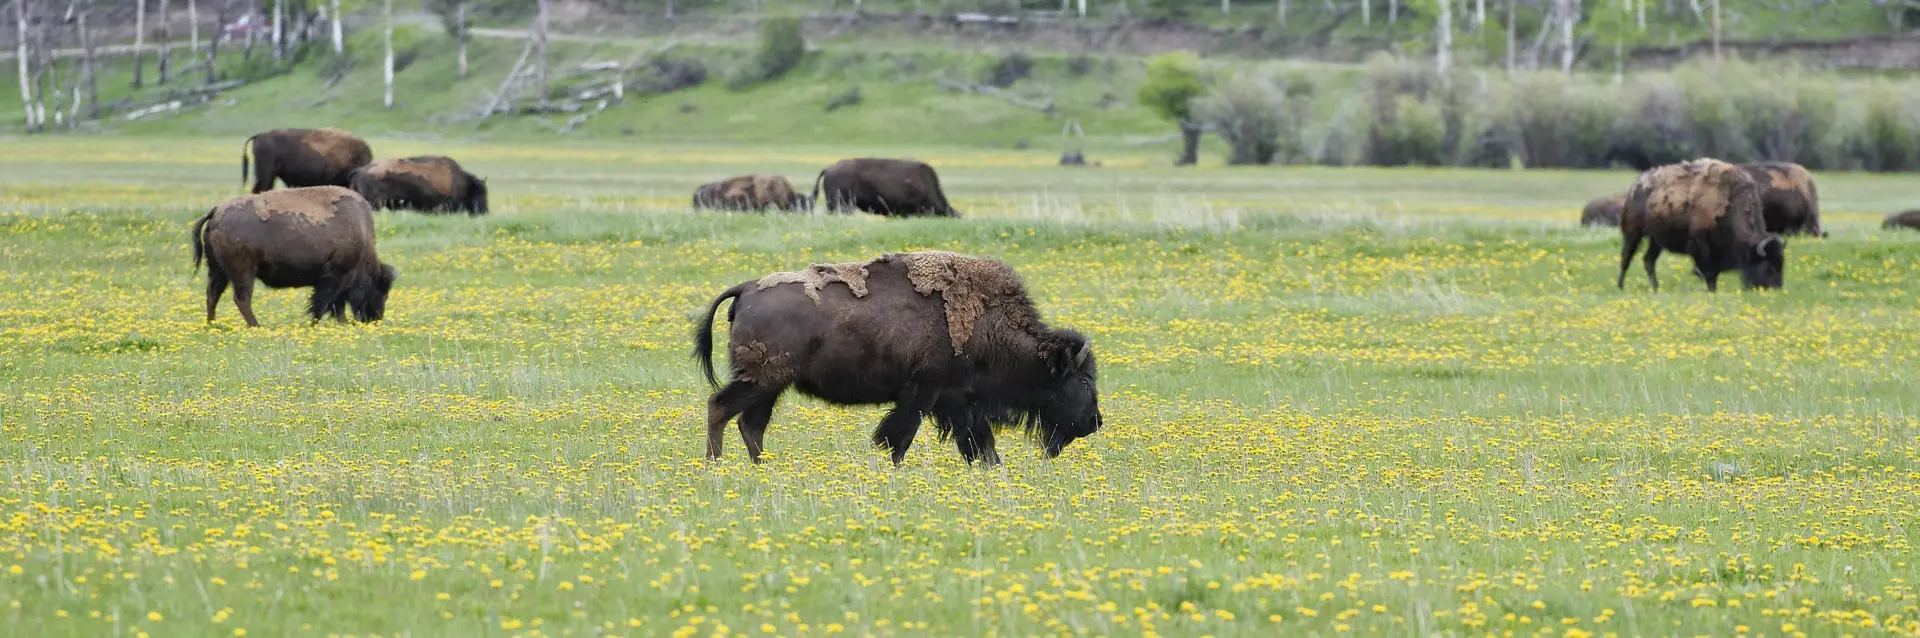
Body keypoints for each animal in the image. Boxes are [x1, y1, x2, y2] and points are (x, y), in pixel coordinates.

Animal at [190, 186, 397, 327]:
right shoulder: (335, 275)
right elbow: (322, 303)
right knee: (241, 298)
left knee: (213, 295)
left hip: (218, 270)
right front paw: (315, 324)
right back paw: (256, 326)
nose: (376, 318)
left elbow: (336, 304)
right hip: (243, 271)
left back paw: (212, 325)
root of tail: (216, 212)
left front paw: (341, 323)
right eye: (381, 290)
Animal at [693, 250, 1101, 465]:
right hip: (760, 380)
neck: (987, 320)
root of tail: (746, 288)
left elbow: (979, 443)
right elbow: (900, 436)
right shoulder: (924, 391)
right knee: (720, 407)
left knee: (751, 424)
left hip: (770, 386)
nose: (1095, 421)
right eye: (1083, 379)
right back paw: (716, 465)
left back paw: (762, 467)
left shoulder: (960, 401)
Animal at [1617, 158, 1783, 292]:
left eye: (1781, 263)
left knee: (1648, 261)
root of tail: (1635, 187)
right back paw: (1620, 287)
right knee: (1626, 258)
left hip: (1656, 240)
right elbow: (1708, 272)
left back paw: (1656, 289)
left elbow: (1713, 272)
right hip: (1633, 233)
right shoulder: (1700, 245)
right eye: (1769, 268)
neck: (1731, 202)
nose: (1777, 289)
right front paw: (1711, 290)